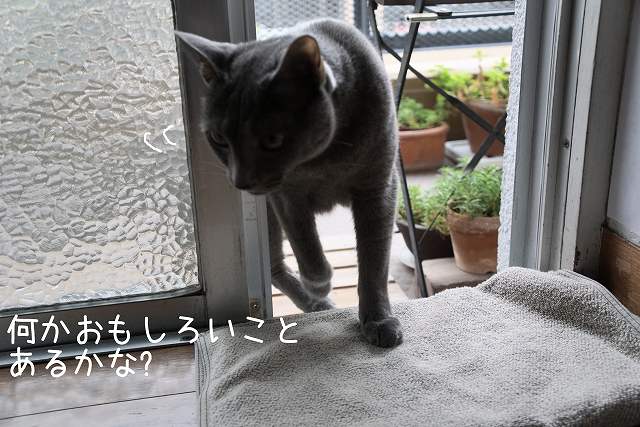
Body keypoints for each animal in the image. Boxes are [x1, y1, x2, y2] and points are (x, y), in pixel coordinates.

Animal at [176, 18, 402, 347]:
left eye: (272, 140)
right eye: (218, 138)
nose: (240, 179)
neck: (326, 159)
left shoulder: (378, 187)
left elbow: (374, 263)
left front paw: (379, 322)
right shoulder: (286, 195)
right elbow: (306, 244)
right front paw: (319, 284)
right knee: (274, 264)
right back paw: (318, 301)